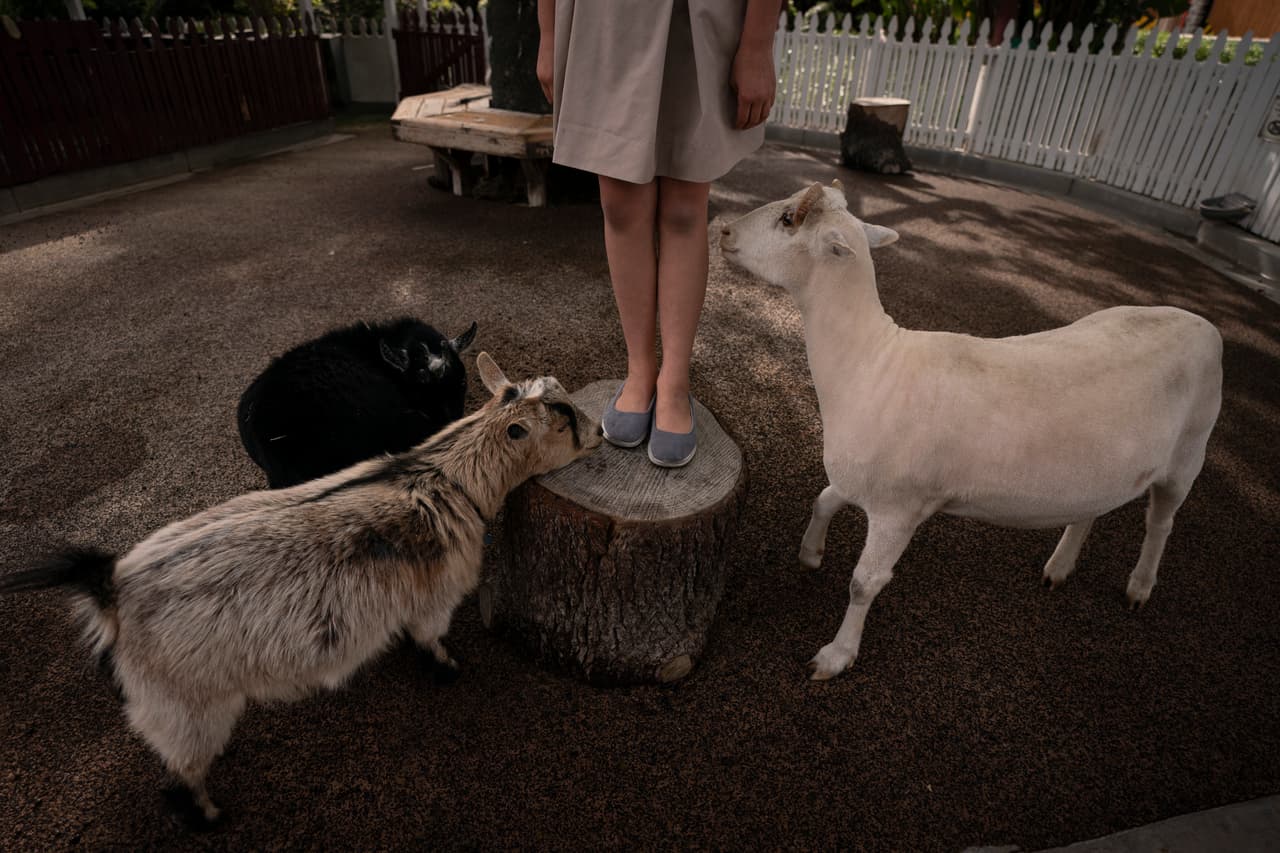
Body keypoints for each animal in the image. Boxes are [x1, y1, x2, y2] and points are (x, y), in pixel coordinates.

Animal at [0, 353, 601, 828]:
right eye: (564, 419)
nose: (600, 432)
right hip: (186, 702)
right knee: (179, 774)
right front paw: (446, 669)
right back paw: (209, 818)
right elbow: (430, 637)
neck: (445, 477)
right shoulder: (435, 595)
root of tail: (110, 589)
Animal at [720, 181, 1223, 681]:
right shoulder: (861, 480)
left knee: (1161, 522)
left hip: (1188, 453)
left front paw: (836, 655)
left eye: (788, 219)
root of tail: (1206, 326)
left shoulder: (900, 506)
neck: (873, 362)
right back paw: (1060, 566)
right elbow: (822, 500)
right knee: (1090, 510)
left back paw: (1140, 586)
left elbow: (865, 583)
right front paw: (810, 554)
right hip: (1106, 468)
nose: (723, 230)